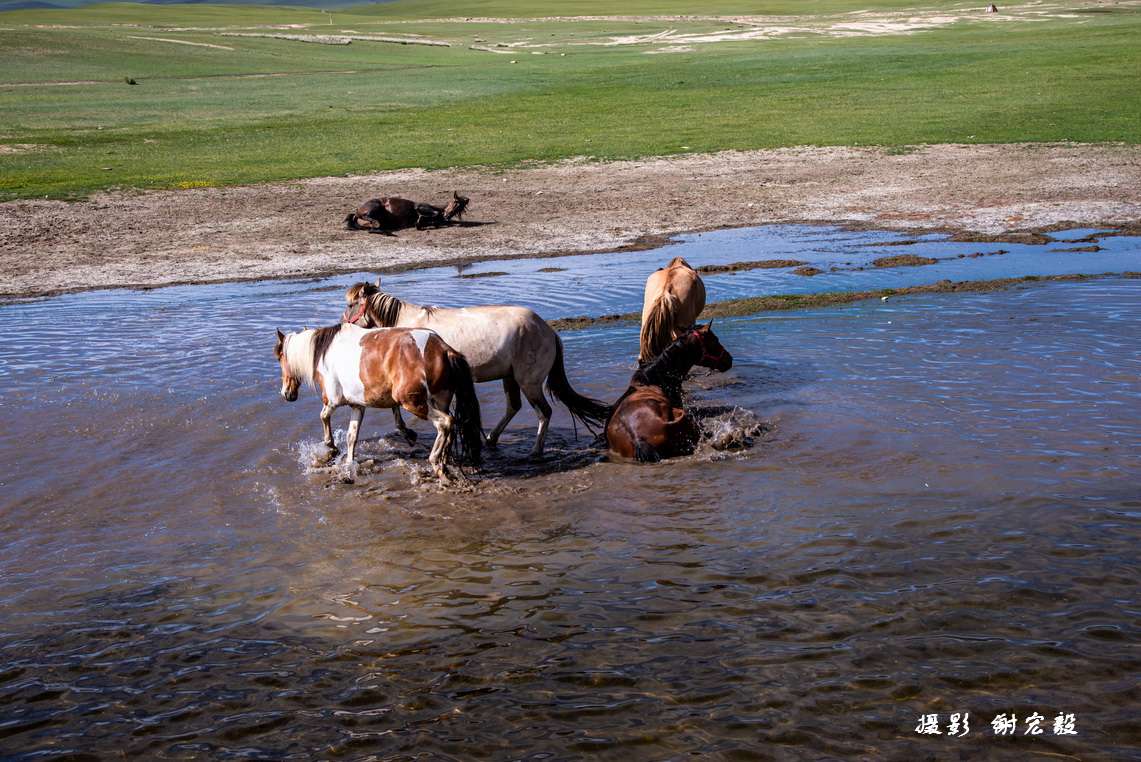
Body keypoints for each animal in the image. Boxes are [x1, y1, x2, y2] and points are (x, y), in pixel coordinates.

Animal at [273, 322, 482, 482]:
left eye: (281, 358)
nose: (286, 393)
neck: (325, 353)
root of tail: (444, 349)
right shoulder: (357, 406)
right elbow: (352, 436)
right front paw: (349, 463)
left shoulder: (332, 401)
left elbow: (323, 417)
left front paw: (331, 447)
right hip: (439, 400)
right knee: (451, 426)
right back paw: (445, 463)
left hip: (413, 401)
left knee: (445, 423)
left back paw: (436, 462)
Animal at [342, 279, 610, 458]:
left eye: (351, 304)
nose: (343, 326)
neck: (408, 329)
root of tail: (549, 331)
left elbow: (398, 410)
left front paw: (409, 435)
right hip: (510, 377)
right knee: (513, 407)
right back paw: (491, 440)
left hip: (529, 382)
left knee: (544, 413)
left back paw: (535, 450)